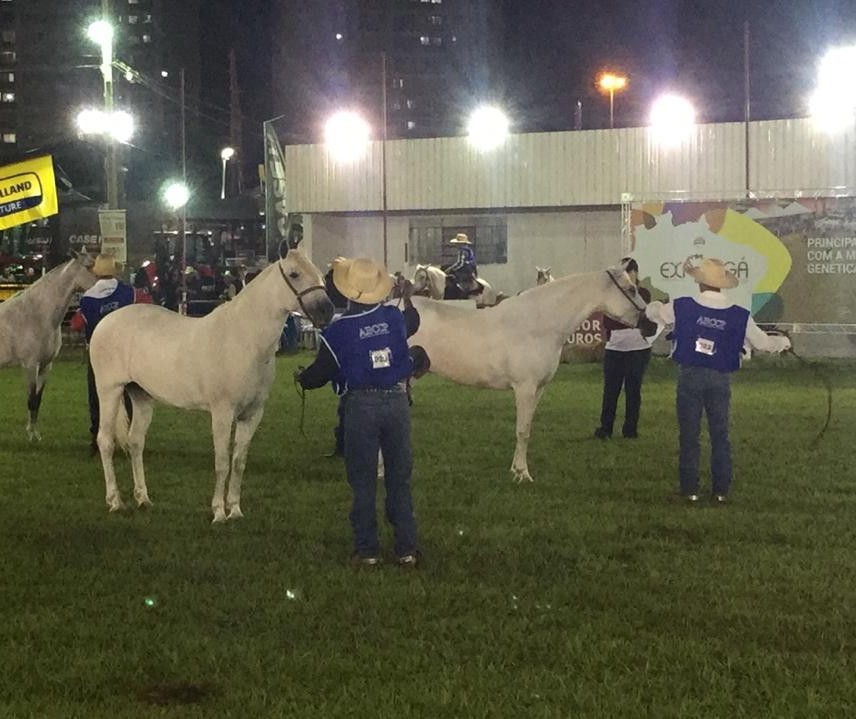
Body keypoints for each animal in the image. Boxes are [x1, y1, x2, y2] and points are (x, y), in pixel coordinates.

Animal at [0, 256, 95, 442]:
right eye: (89, 267)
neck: (36, 314)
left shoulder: (46, 366)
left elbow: (38, 400)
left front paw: (36, 435)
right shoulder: (30, 366)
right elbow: (31, 400)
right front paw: (30, 435)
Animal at [92, 250, 332, 520]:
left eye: (319, 274)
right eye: (294, 274)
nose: (327, 311)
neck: (244, 340)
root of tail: (106, 321)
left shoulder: (252, 414)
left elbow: (238, 463)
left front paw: (235, 510)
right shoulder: (222, 412)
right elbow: (222, 463)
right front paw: (218, 512)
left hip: (141, 395)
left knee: (135, 442)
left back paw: (143, 499)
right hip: (109, 391)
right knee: (105, 441)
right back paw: (115, 501)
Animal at [408, 268, 640, 480]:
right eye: (631, 289)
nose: (646, 321)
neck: (538, 325)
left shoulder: (539, 389)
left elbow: (526, 428)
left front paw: (515, 469)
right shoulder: (524, 388)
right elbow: (522, 431)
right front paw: (523, 474)